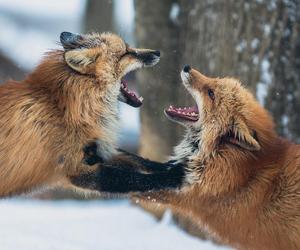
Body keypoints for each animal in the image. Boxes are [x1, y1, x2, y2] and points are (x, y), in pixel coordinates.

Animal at [0, 30, 161, 196]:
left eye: (128, 47)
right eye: (125, 52)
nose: (158, 52)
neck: (64, 109)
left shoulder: (98, 150)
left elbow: (138, 159)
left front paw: (166, 166)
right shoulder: (77, 169)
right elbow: (134, 178)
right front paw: (168, 178)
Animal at [81, 66, 300, 250]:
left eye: (211, 93)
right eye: (215, 80)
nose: (187, 67)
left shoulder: (185, 194)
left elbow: (132, 182)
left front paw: (97, 178)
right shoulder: (177, 170)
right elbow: (141, 162)